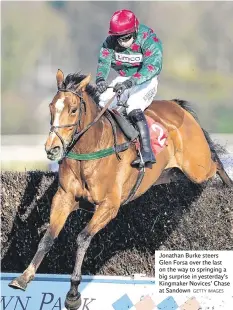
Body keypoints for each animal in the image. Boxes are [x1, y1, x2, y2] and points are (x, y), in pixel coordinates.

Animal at [8, 69, 231, 308]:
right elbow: (48, 237)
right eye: (51, 106)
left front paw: (73, 294)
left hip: (198, 167)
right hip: (167, 173)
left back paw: (228, 185)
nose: (52, 149)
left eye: (73, 109)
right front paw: (23, 278)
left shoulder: (109, 206)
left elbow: (83, 238)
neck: (91, 149)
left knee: (215, 161)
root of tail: (176, 105)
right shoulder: (64, 197)